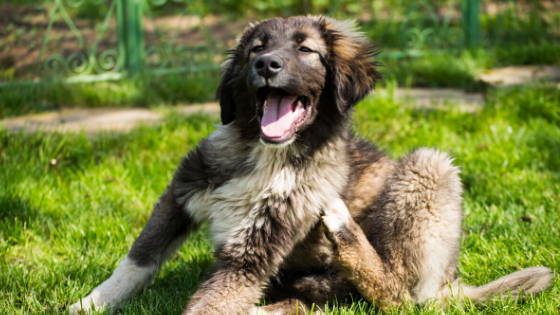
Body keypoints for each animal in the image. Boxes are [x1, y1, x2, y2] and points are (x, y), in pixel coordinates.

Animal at [69, 16, 552, 314]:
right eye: (255, 50)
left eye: (306, 50)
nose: (267, 65)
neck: (266, 155)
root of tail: (453, 282)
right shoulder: (180, 195)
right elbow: (137, 260)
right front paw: (90, 304)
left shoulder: (253, 251)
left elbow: (214, 301)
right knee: (315, 301)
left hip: (429, 166)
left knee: (398, 296)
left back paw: (344, 231)